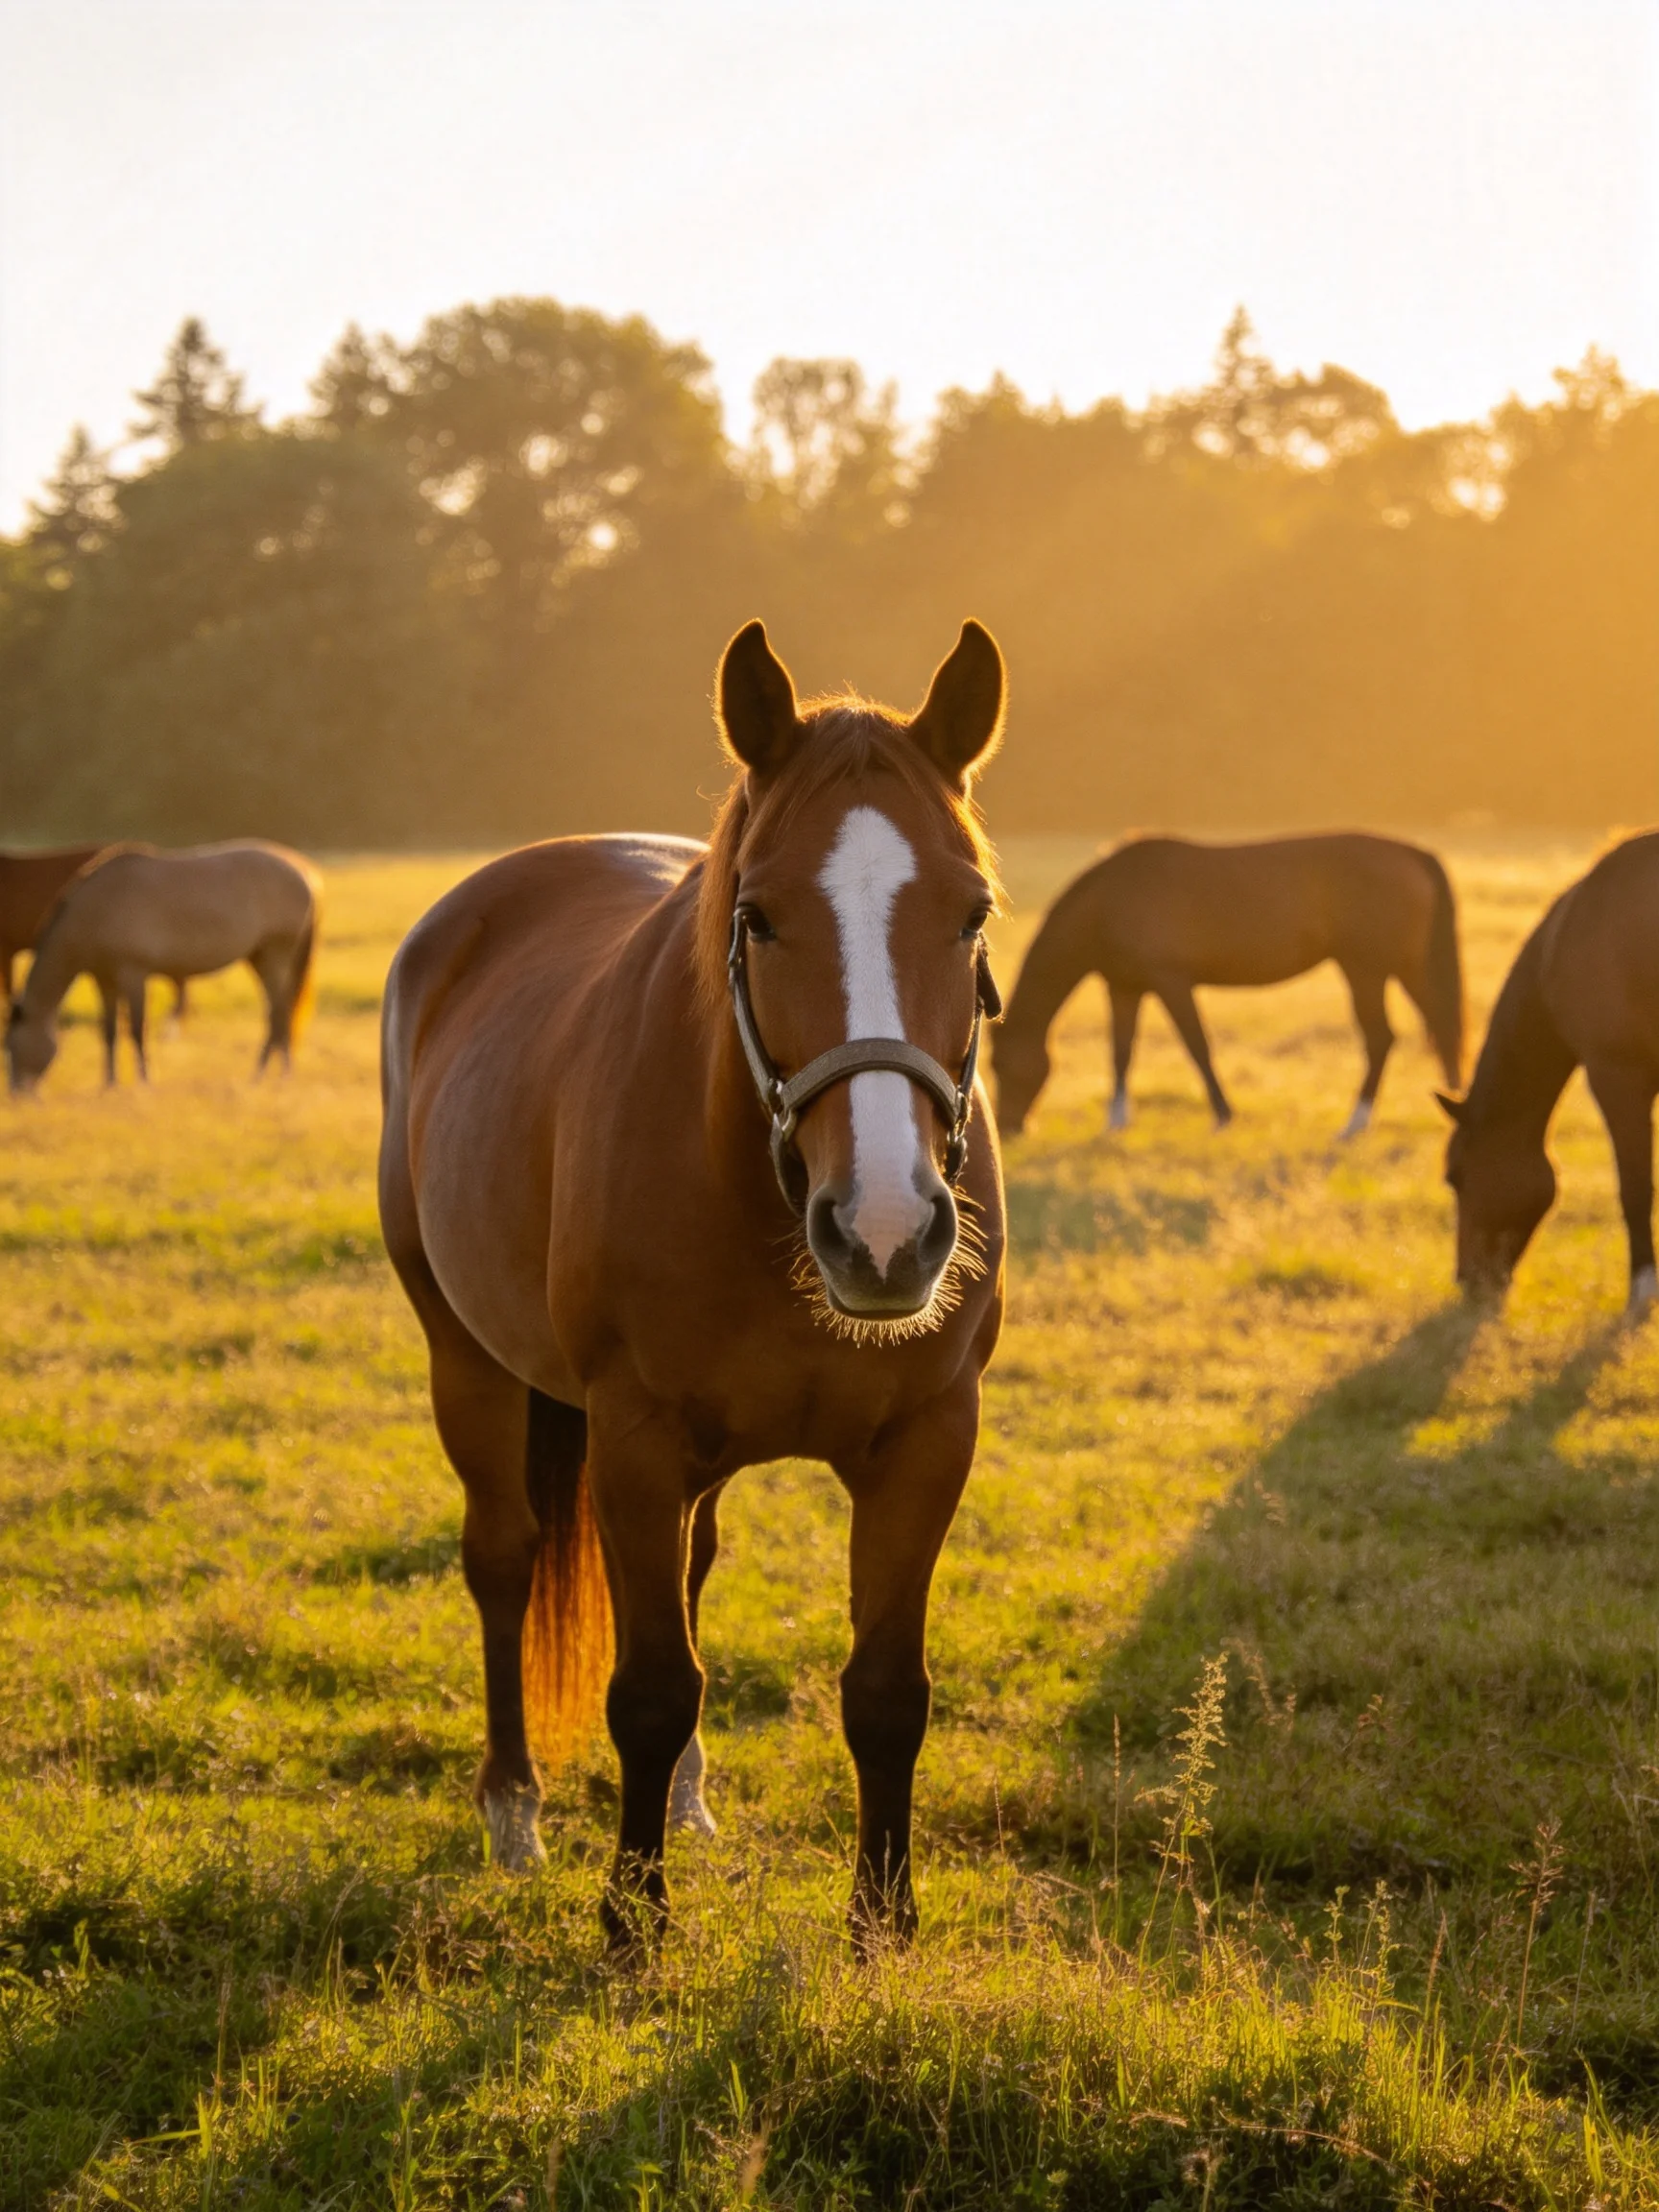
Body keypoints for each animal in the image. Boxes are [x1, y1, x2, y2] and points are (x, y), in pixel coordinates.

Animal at [6, 841, 320, 1093]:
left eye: (10, 1045)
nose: (18, 1095)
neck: (98, 908)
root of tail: (303, 874)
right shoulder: (104, 979)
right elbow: (108, 1032)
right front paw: (109, 1085)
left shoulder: (133, 974)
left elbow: (136, 1029)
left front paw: (145, 1083)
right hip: (259, 958)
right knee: (279, 1012)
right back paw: (273, 1074)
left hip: (276, 954)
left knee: (280, 1011)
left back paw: (269, 1075)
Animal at [379, 619, 1008, 1952]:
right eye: (759, 918)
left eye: (972, 911)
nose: (885, 1232)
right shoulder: (633, 1436)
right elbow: (652, 1685)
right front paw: (633, 1922)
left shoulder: (930, 1439)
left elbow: (886, 1691)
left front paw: (883, 1927)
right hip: (467, 1363)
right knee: (502, 1557)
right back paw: (513, 1809)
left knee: (692, 1565)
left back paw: (686, 1800)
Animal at [993, 832, 1463, 1139]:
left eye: (999, 1065)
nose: (1009, 1127)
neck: (1109, 900)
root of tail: (1412, 852)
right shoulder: (1124, 988)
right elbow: (1121, 1052)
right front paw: (1116, 1122)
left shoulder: (1171, 982)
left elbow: (1197, 1047)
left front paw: (1223, 1116)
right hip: (1404, 968)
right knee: (1439, 1025)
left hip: (1367, 969)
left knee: (1382, 1038)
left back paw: (1355, 1125)